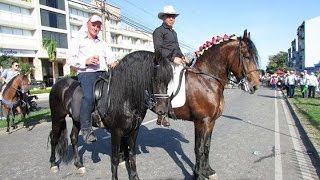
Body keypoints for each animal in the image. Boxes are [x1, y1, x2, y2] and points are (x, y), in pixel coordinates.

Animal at [48, 50, 172, 180]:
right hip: (57, 117)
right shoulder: (116, 131)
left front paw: (134, 176)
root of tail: (59, 83)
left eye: (168, 81)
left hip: (77, 120)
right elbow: (115, 158)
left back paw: (79, 164)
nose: (163, 110)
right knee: (54, 139)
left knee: (73, 138)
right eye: (155, 78)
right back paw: (53, 164)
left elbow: (132, 155)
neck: (124, 97)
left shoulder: (134, 130)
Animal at [164, 29, 262, 179]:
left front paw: (208, 171)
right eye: (246, 56)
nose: (255, 86)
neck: (206, 80)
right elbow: (198, 148)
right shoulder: (201, 121)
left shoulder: (211, 122)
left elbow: (206, 146)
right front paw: (198, 175)